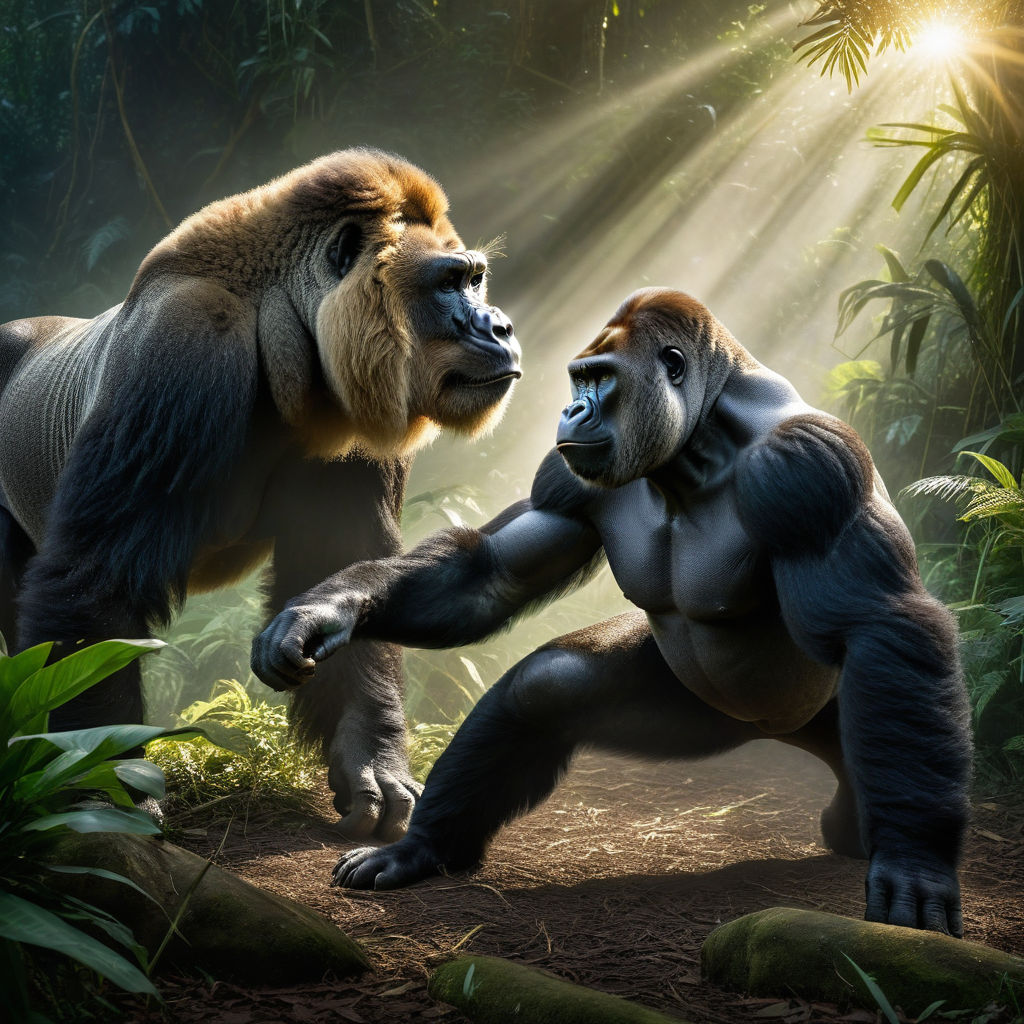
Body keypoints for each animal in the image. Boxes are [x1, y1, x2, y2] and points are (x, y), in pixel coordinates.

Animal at [0, 148, 520, 841]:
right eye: (449, 283)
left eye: (476, 279)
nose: (502, 327)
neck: (278, 316)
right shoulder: (188, 341)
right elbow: (94, 583)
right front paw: (99, 787)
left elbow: (344, 582)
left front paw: (370, 755)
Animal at [253, 287, 973, 935]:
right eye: (581, 378)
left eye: (602, 378)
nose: (571, 408)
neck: (701, 439)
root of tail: (775, 728)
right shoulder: (566, 482)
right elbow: (489, 573)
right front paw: (328, 610)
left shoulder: (810, 467)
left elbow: (878, 621)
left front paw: (913, 863)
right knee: (546, 687)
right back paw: (421, 850)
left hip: (835, 701)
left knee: (885, 691)